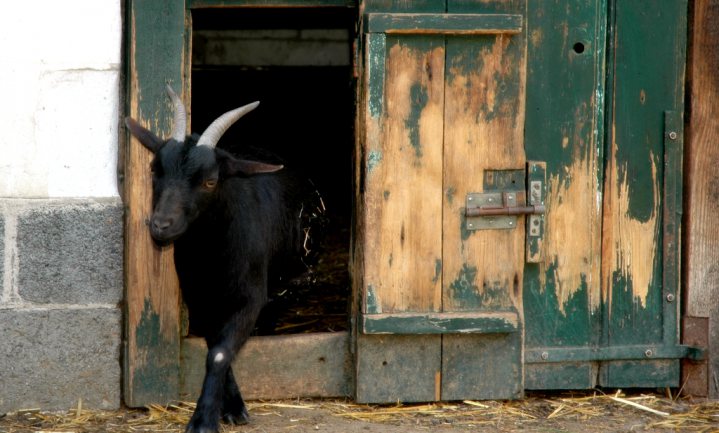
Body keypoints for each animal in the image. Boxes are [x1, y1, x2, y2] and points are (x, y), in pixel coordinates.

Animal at [125, 85, 324, 432]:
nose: (161, 225)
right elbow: (215, 344)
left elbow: (219, 353)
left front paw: (204, 420)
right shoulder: (200, 298)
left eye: (210, 180)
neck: (212, 256)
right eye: (154, 170)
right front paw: (231, 407)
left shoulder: (250, 297)